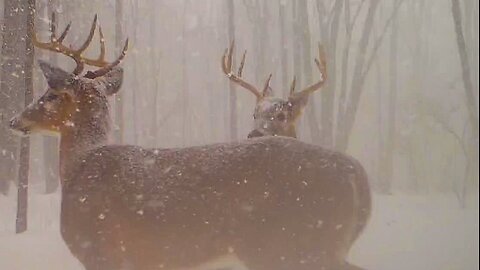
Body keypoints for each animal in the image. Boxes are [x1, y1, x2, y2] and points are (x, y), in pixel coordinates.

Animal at [8, 15, 372, 270]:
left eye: (50, 94)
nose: (15, 120)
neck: (81, 164)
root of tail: (357, 174)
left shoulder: (99, 251)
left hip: (291, 247)